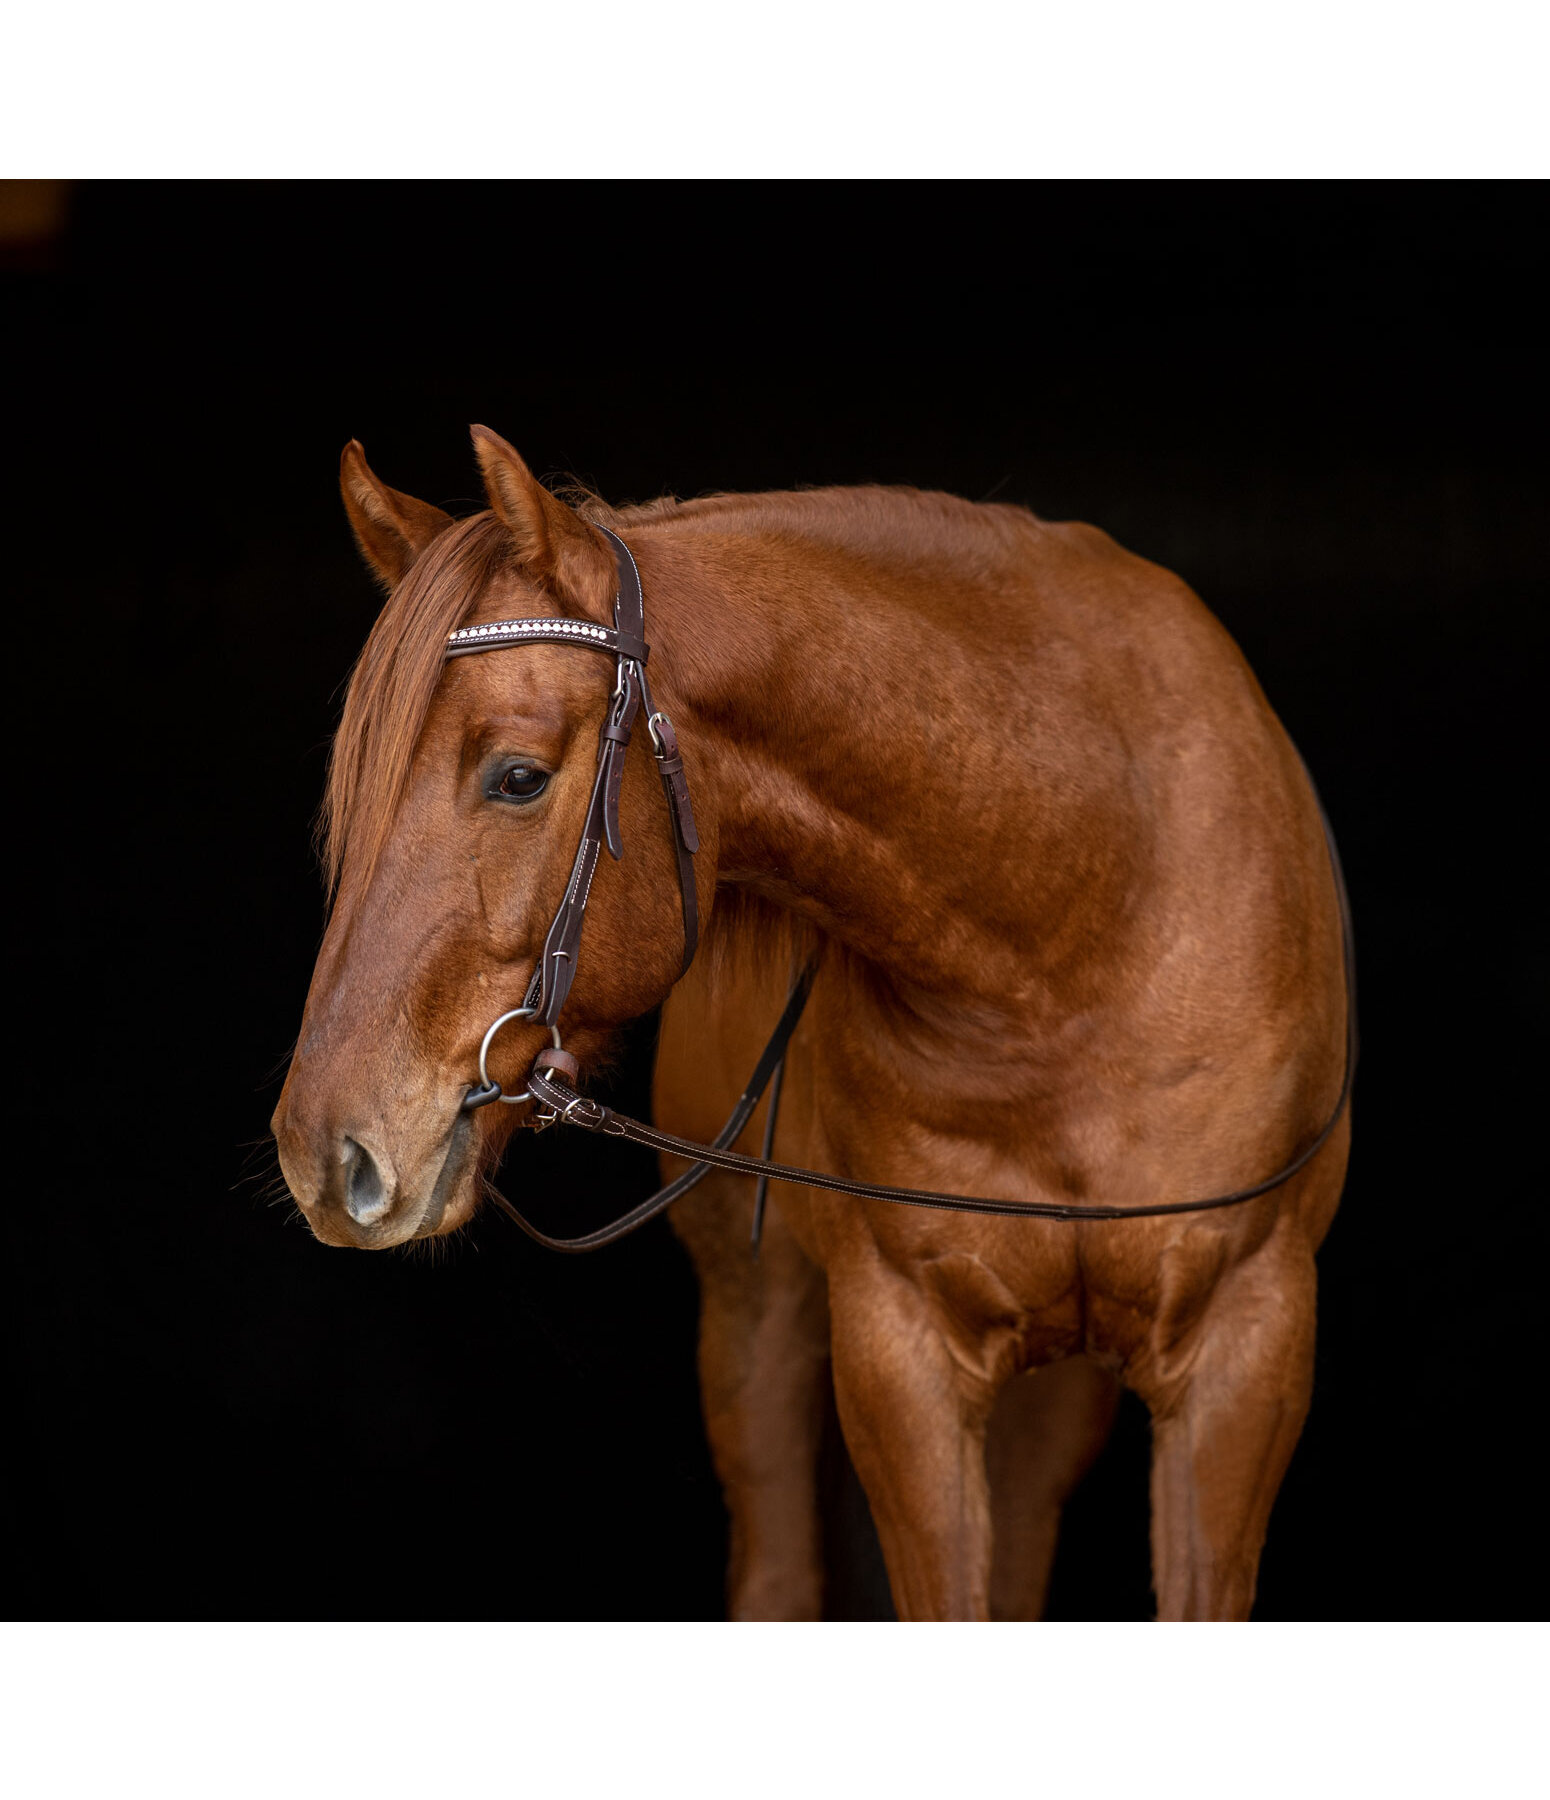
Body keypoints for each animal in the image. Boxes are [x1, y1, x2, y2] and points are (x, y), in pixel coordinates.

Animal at [271, 428, 1346, 1627]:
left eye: (517, 778)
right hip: (756, 1319)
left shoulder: (1246, 1348)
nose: (326, 1153)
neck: (1078, 925)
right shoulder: (899, 1355)